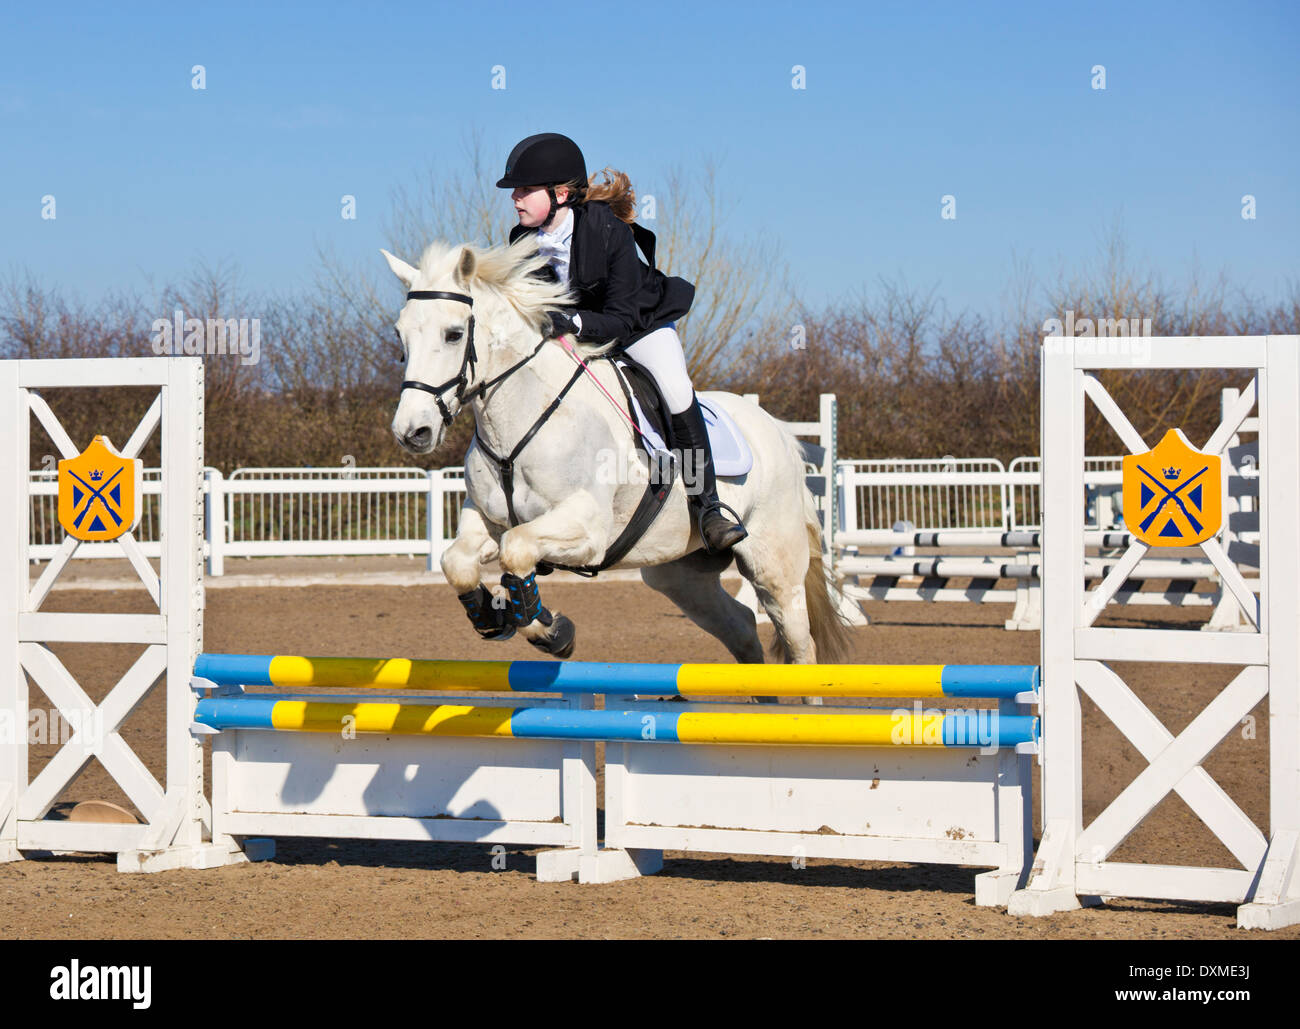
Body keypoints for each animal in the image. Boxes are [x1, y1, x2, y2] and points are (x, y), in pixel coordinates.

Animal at [384, 241, 852, 670]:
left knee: (799, 641)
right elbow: (457, 562)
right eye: (401, 335)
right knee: (741, 628)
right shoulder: (486, 519)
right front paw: (496, 614)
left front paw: (550, 631)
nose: (413, 432)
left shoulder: (587, 530)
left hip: (773, 564)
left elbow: (516, 551)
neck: (519, 420)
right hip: (679, 574)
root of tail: (778, 431)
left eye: (453, 334)